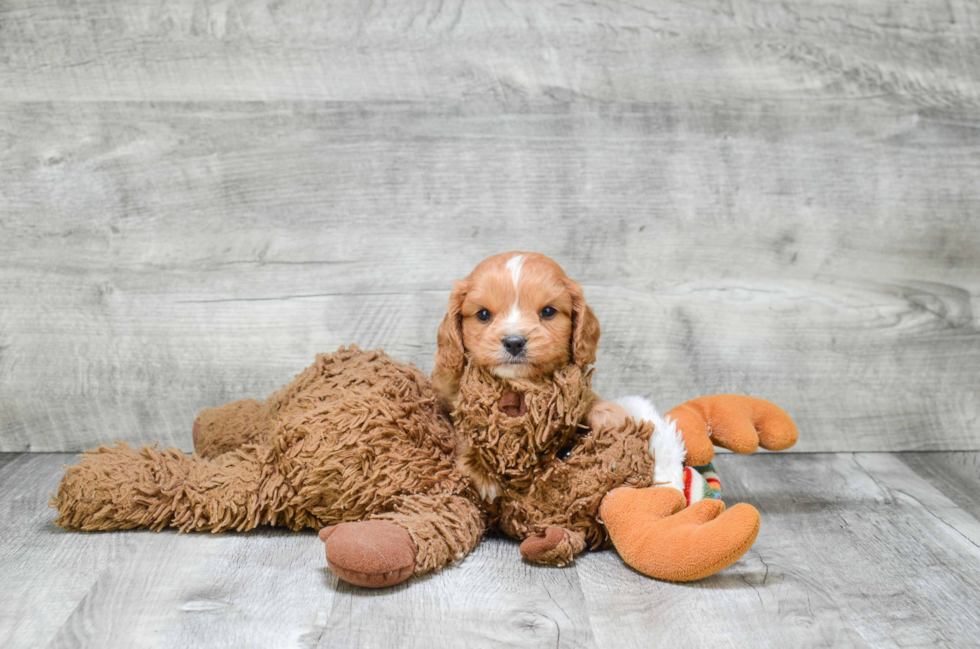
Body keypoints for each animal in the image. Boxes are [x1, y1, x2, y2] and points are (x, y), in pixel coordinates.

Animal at [432, 253, 632, 496]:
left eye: (548, 312)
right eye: (483, 314)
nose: (514, 342)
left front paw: (607, 410)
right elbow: (466, 425)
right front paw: (479, 467)